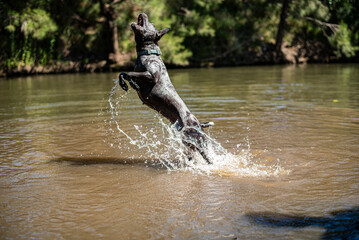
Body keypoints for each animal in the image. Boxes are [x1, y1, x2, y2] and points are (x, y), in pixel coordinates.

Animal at [119, 12, 214, 163]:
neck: (148, 53)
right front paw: (125, 83)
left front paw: (130, 81)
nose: (143, 13)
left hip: (198, 142)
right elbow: (124, 73)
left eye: (151, 24)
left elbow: (129, 73)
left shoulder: (151, 76)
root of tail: (199, 124)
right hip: (188, 144)